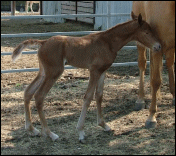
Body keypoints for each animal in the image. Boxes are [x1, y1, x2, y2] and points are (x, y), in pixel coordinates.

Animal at [12, 12, 161, 143]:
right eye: (146, 32)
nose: (158, 46)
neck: (108, 42)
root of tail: (43, 42)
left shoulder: (102, 71)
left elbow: (99, 95)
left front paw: (104, 125)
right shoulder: (94, 71)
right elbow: (88, 97)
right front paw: (81, 132)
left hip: (44, 72)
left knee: (28, 92)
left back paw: (32, 129)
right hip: (54, 72)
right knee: (39, 96)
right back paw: (50, 134)